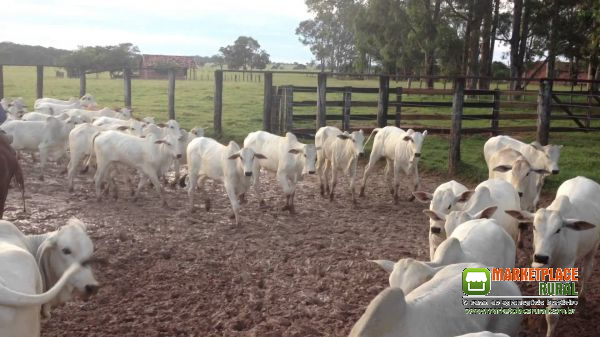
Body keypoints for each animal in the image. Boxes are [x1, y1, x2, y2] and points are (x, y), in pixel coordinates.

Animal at [506, 176, 600, 336]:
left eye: (558, 230)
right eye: (534, 227)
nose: (541, 257)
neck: (556, 250)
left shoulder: (564, 267)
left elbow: (552, 314)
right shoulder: (542, 268)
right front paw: (541, 323)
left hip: (592, 249)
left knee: (587, 271)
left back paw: (581, 303)